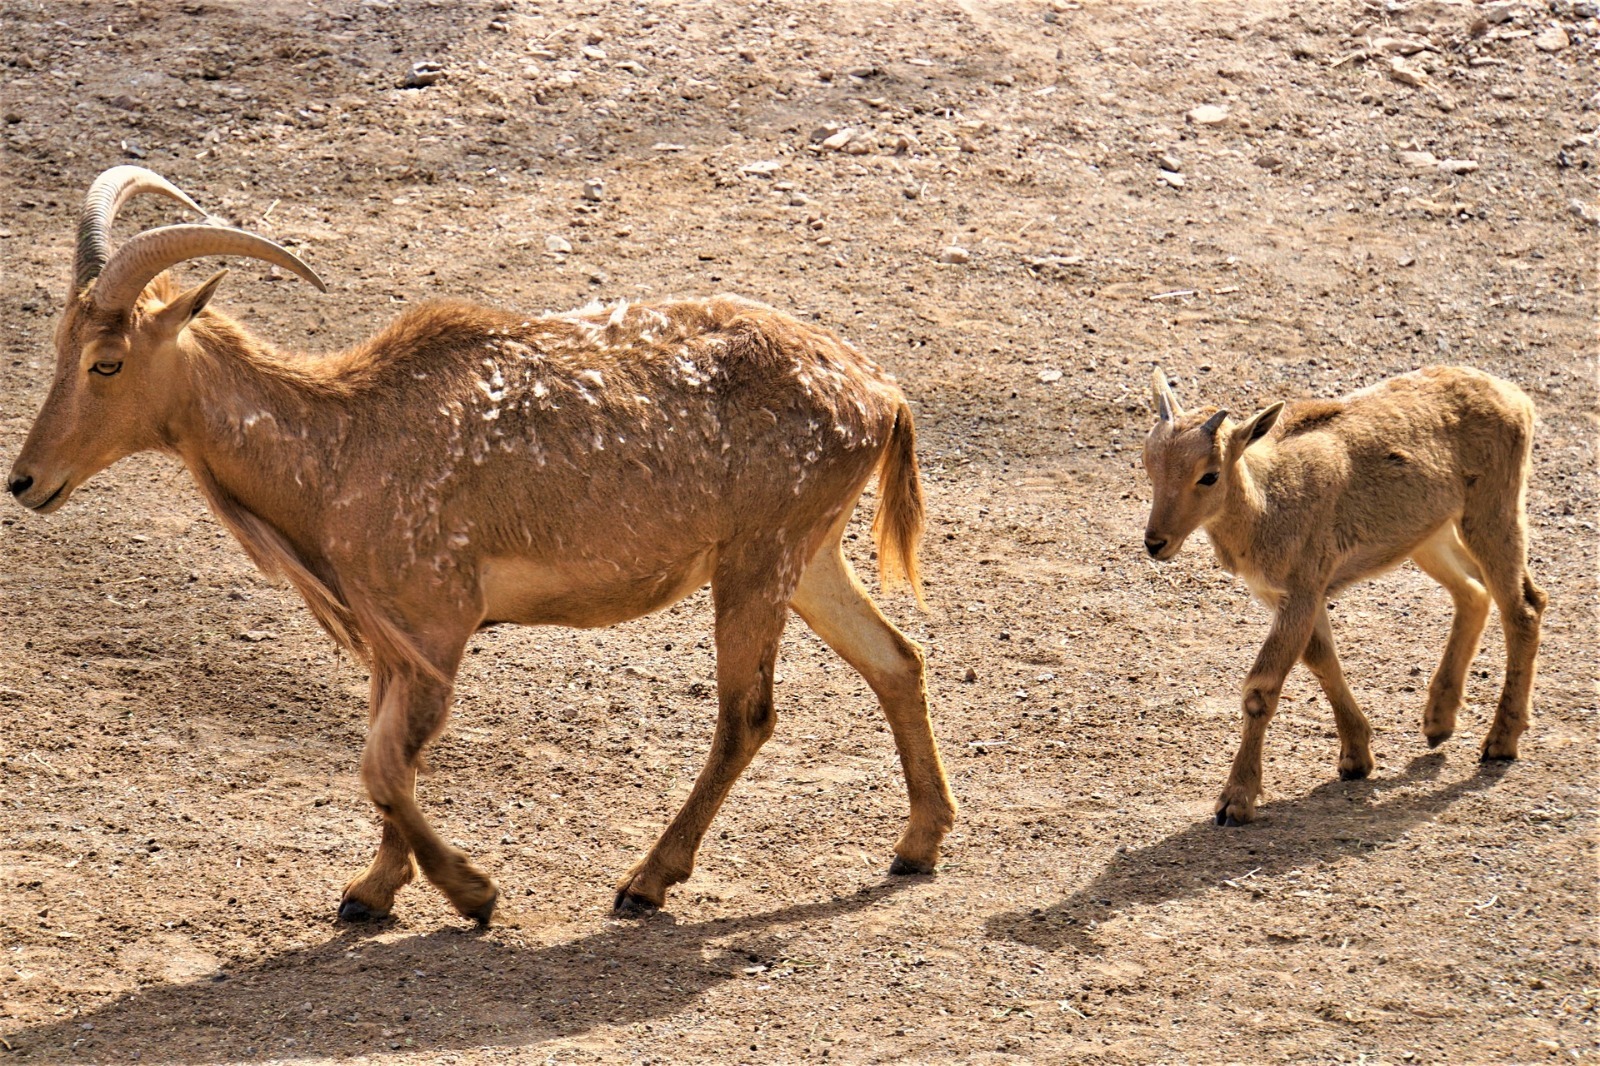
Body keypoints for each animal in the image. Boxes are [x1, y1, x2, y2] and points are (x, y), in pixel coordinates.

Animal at [8, 166, 957, 924]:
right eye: (59, 346)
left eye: (107, 361)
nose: (24, 481)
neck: (338, 444)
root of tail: (880, 393)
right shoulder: (391, 639)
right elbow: (386, 760)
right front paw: (373, 892)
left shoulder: (438, 619)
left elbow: (384, 767)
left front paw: (471, 892)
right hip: (809, 555)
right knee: (896, 659)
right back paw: (918, 842)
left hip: (760, 556)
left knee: (747, 714)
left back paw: (647, 880)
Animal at [1141, 366, 1546, 826]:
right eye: (1149, 462)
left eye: (1208, 475)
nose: (1156, 542)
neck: (1268, 504)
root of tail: (1516, 397)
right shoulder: (1294, 595)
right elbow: (1322, 662)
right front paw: (1357, 756)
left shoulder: (1301, 590)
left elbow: (1262, 689)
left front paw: (1235, 801)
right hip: (1429, 535)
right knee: (1475, 594)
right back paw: (1438, 721)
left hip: (1492, 511)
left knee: (1523, 607)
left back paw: (1500, 741)